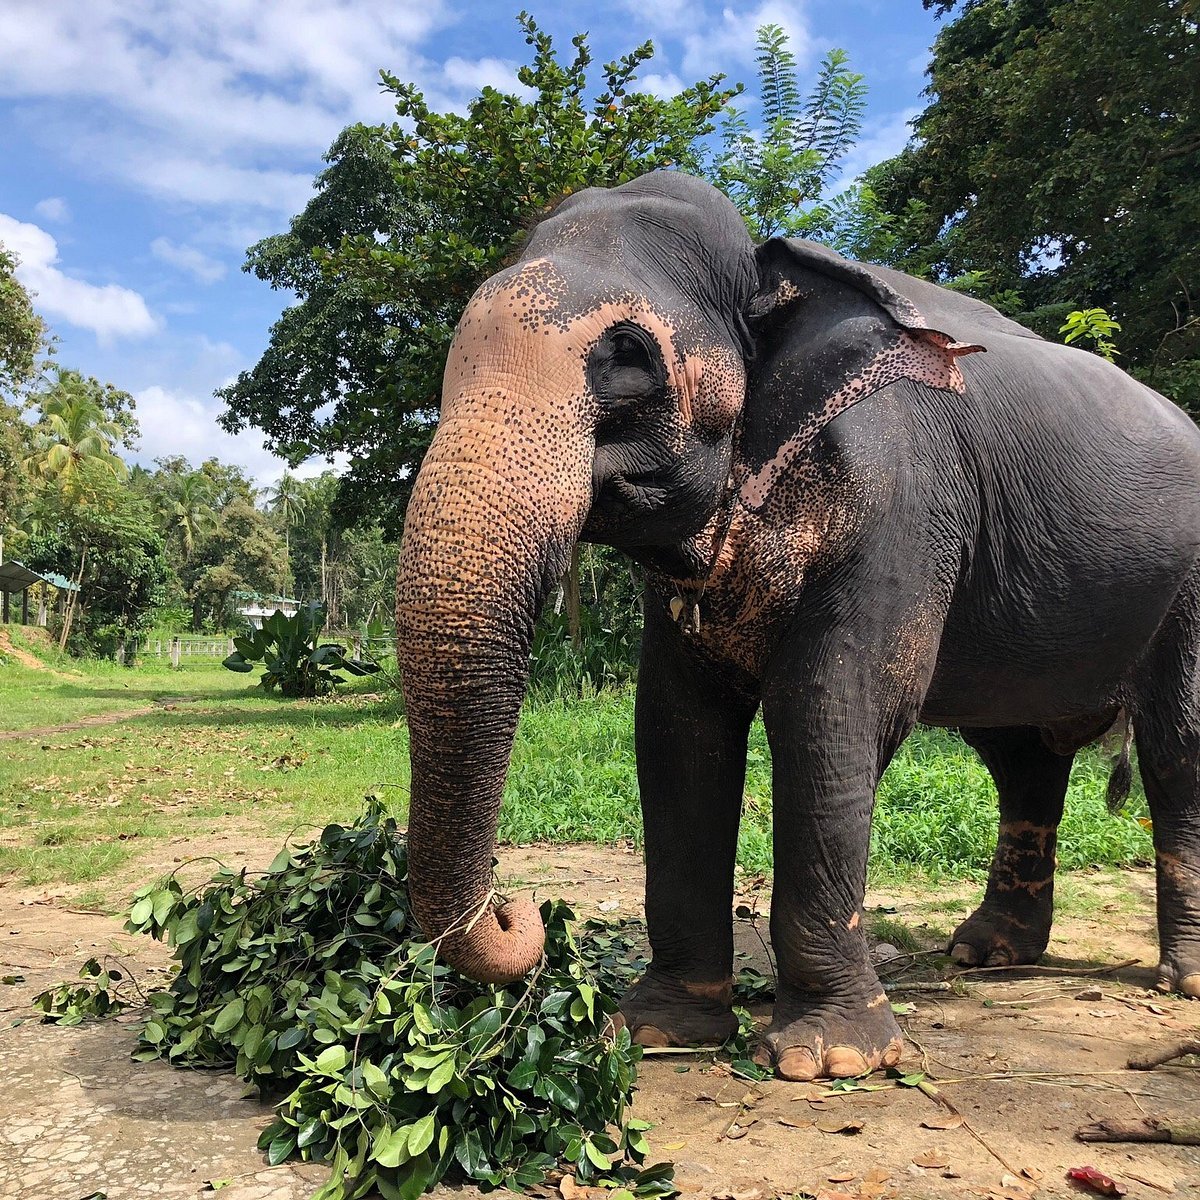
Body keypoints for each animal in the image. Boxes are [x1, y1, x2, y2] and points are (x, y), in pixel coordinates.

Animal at [395, 170, 1200, 1081]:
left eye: (627, 358)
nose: (518, 911)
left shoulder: (903, 502)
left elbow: (827, 712)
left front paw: (831, 1059)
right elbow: (676, 730)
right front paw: (657, 1032)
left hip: (1187, 588)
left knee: (1174, 748)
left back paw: (1178, 977)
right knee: (1020, 757)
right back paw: (987, 954)